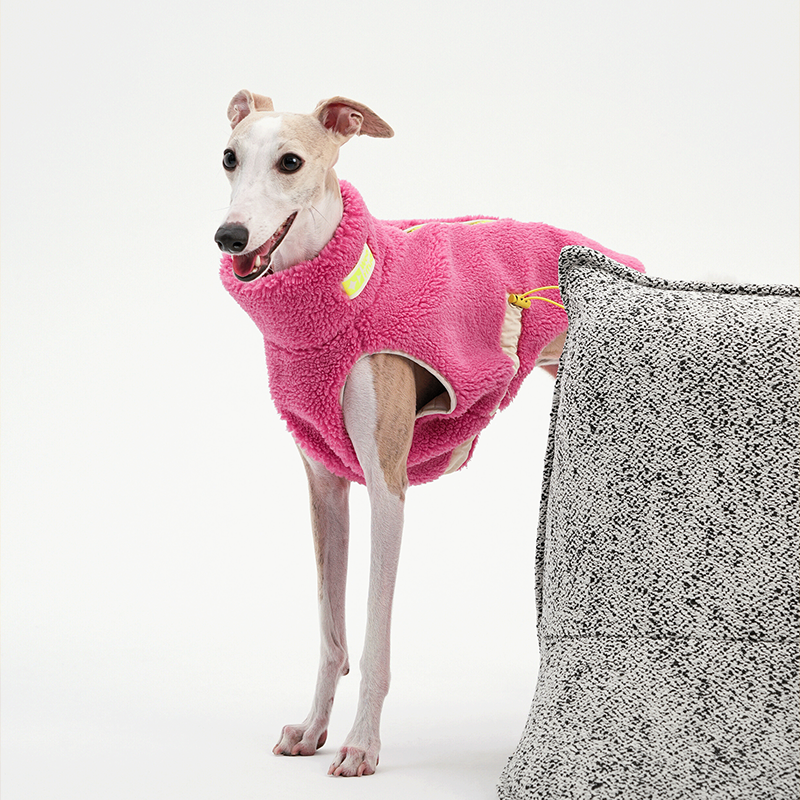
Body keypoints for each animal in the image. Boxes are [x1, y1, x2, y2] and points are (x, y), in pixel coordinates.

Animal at [215, 90, 644, 777]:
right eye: (229, 157)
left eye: (290, 161)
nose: (229, 236)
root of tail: (615, 255)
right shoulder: (326, 487)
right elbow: (331, 632)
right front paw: (312, 729)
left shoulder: (387, 486)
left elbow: (373, 635)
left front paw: (361, 744)